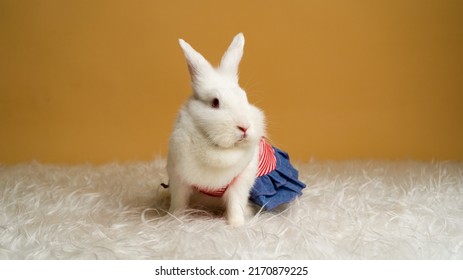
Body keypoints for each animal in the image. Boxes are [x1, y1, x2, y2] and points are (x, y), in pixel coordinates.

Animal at [169, 32, 266, 226]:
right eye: (215, 102)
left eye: (245, 98)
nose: (244, 127)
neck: (217, 148)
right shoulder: (178, 179)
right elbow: (178, 202)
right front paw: (175, 220)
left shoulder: (241, 181)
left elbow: (236, 204)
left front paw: (236, 225)